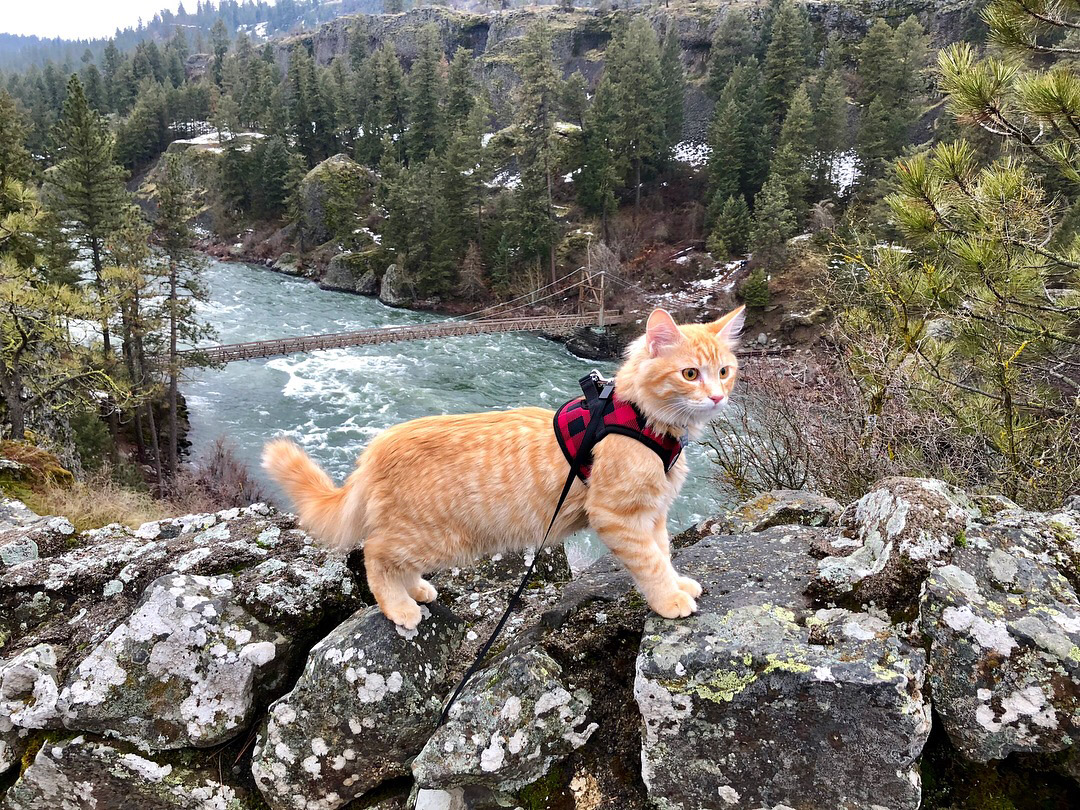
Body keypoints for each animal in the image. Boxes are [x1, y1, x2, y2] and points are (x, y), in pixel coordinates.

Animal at [265, 306, 747, 630]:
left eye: (725, 371)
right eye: (689, 374)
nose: (717, 397)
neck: (644, 420)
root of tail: (378, 446)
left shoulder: (654, 513)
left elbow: (664, 552)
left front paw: (679, 584)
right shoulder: (618, 515)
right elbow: (650, 563)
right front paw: (669, 599)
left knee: (393, 559)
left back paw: (416, 590)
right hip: (439, 537)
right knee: (375, 555)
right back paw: (400, 607)